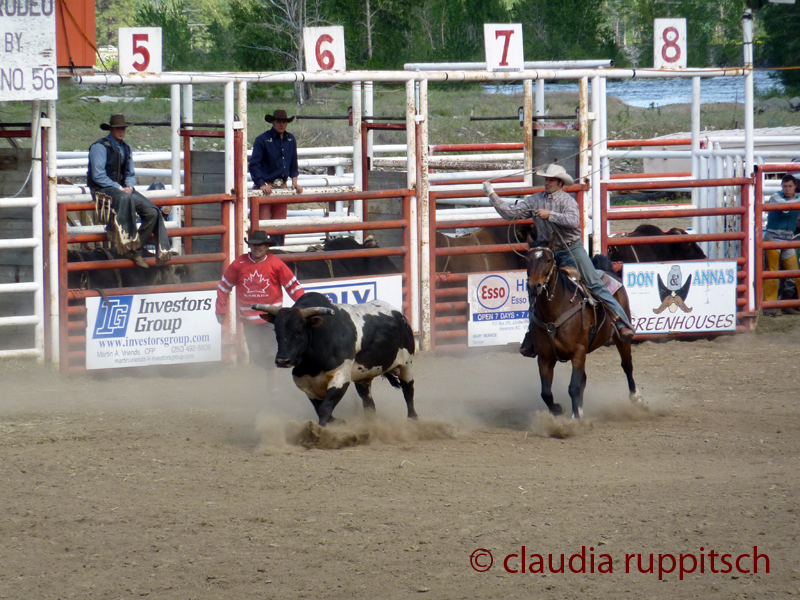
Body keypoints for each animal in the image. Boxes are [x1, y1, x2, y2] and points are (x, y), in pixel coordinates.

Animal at [252, 292, 416, 426]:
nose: (282, 361)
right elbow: (321, 409)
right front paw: (340, 422)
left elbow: (325, 409)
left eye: (299, 331)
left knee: (408, 391)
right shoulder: (307, 384)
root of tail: (400, 316)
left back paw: (412, 420)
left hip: (406, 365)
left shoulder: (341, 377)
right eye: (276, 331)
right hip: (363, 379)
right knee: (369, 404)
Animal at [524, 244, 644, 418]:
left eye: (548, 260)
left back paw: (636, 398)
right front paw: (559, 409)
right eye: (528, 260)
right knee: (583, 380)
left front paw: (575, 418)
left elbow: (573, 387)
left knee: (627, 365)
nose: (534, 286)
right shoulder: (545, 357)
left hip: (621, 339)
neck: (554, 313)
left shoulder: (578, 351)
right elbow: (546, 393)